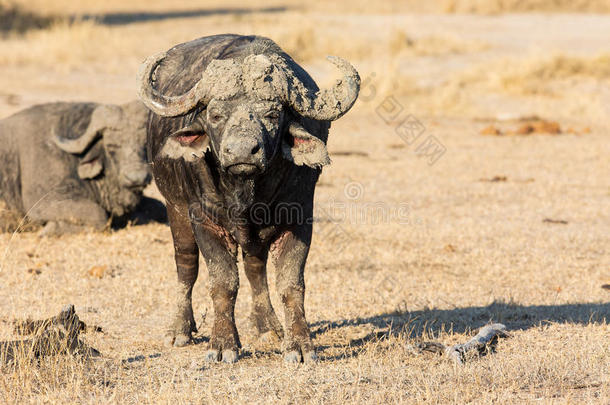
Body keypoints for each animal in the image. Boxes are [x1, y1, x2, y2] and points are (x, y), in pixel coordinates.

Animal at [138, 34, 356, 362]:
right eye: (216, 115)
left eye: (272, 114)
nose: (242, 151)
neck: (247, 194)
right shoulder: (204, 221)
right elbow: (223, 282)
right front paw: (223, 344)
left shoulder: (299, 220)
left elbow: (290, 284)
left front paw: (300, 344)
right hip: (174, 209)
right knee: (186, 266)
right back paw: (180, 329)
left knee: (255, 268)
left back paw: (268, 326)